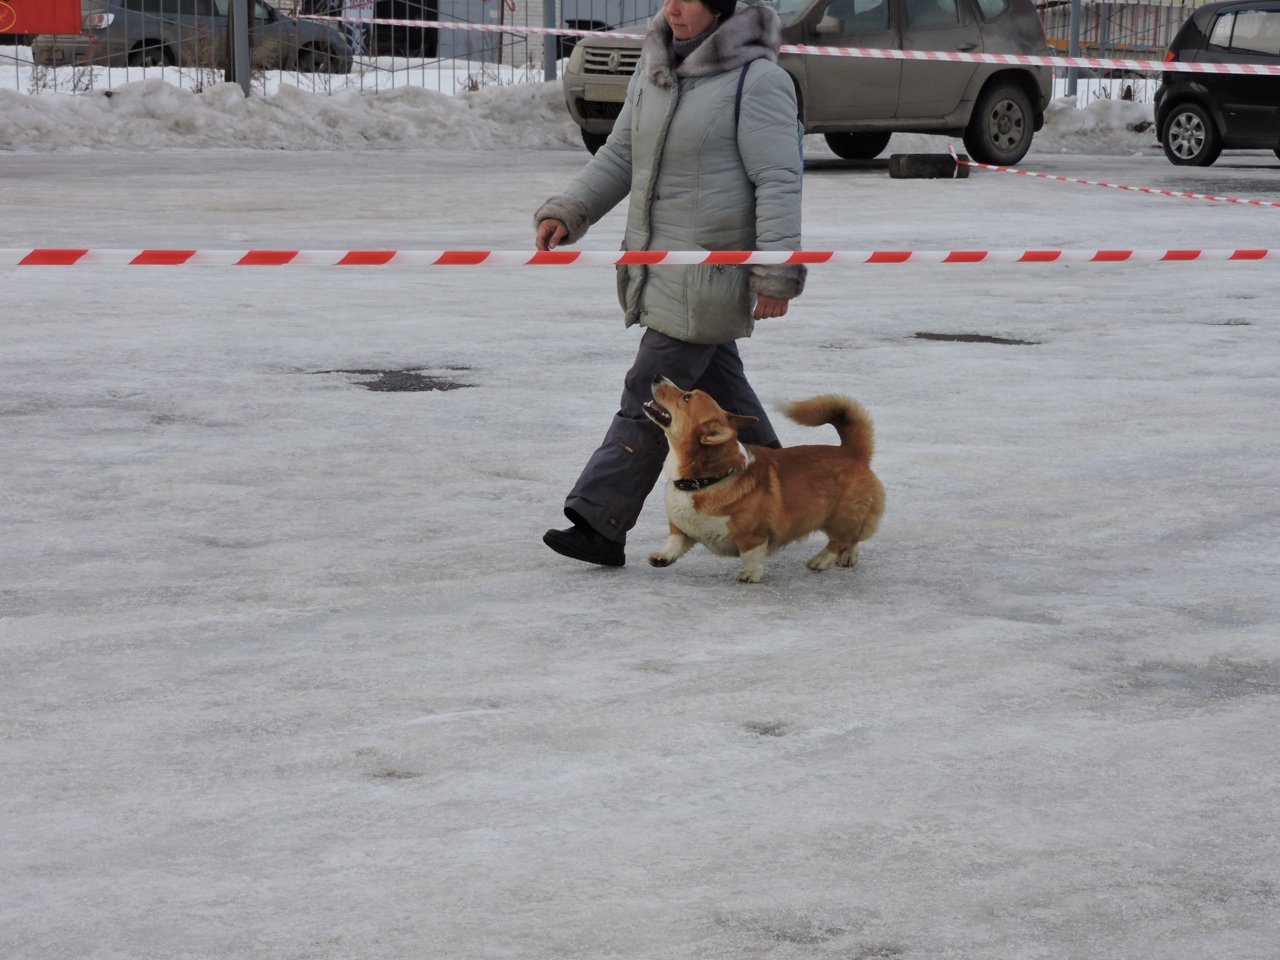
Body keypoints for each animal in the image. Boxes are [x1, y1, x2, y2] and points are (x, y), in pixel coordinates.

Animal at [645, 378, 885, 586]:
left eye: (687, 397)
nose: (657, 376)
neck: (707, 479)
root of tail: (853, 452)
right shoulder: (681, 527)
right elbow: (674, 542)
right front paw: (662, 558)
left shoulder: (753, 536)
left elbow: (751, 556)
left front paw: (750, 575)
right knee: (852, 538)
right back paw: (848, 557)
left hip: (841, 516)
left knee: (841, 539)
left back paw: (821, 560)